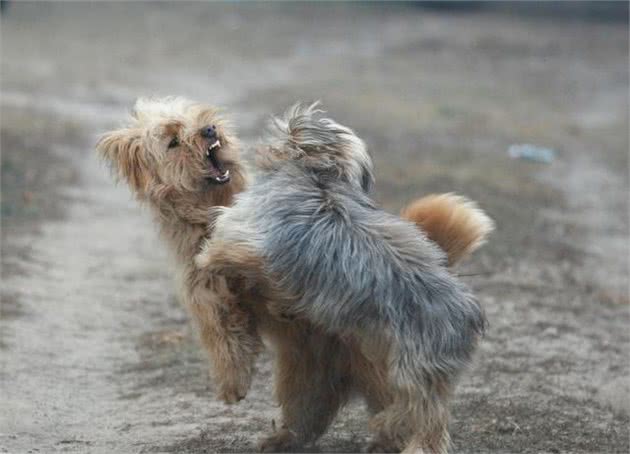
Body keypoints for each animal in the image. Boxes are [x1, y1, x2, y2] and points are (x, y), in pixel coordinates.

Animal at [99, 96, 494, 450]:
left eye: (198, 120)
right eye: (173, 141)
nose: (209, 129)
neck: (314, 179)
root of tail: (466, 309)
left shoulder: (243, 238)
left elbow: (224, 255)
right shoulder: (212, 300)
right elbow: (225, 332)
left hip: (402, 368)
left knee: (419, 416)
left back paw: (391, 431)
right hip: (337, 371)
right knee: (347, 412)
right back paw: (295, 437)